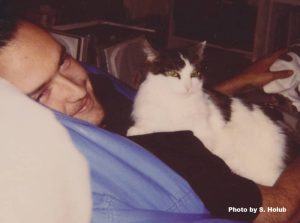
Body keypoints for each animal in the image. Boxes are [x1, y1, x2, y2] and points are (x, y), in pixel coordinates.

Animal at [127, 41, 288, 186]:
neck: (175, 103)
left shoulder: (202, 133)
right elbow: (146, 126)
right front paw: (136, 130)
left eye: (194, 74)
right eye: (173, 73)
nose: (188, 87)